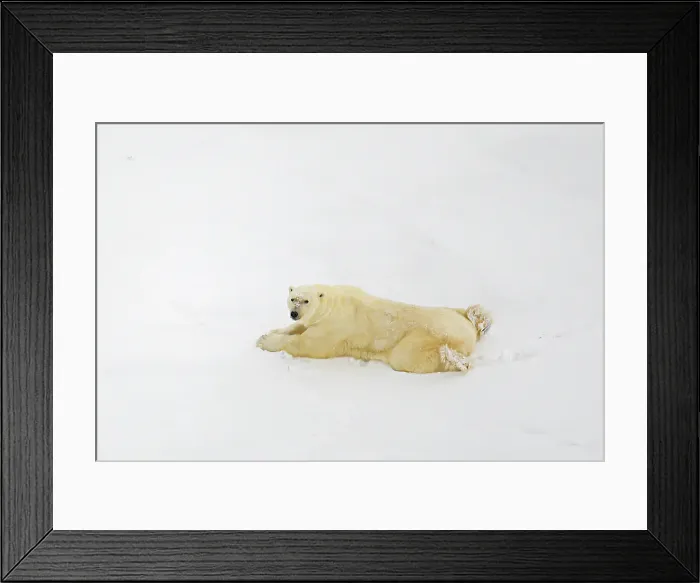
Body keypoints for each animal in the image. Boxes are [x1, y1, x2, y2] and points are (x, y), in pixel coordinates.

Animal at [256, 284, 492, 374]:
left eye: (306, 300)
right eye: (293, 298)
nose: (294, 313)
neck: (332, 303)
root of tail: (468, 331)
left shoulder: (334, 327)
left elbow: (307, 344)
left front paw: (264, 341)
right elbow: (298, 329)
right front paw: (271, 331)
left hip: (425, 334)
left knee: (408, 357)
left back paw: (456, 360)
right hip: (449, 313)